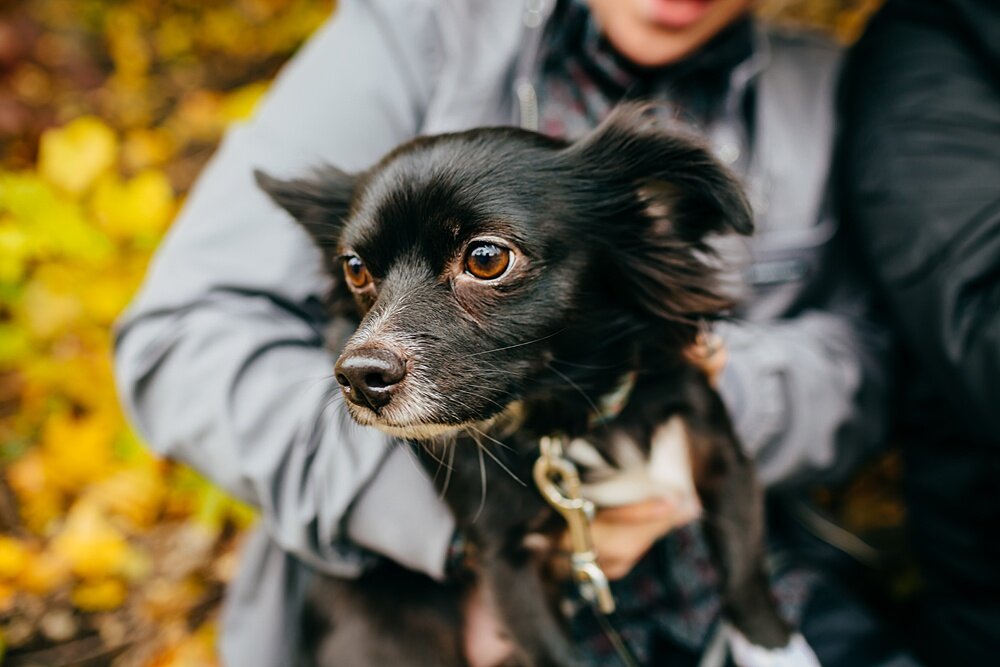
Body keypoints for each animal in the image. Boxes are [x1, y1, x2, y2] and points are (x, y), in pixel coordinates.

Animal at [256, 105, 812, 667]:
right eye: (355, 269)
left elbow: (745, 574)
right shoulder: (508, 563)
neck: (568, 423)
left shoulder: (723, 458)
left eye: (486, 258)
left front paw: (778, 650)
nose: (357, 375)